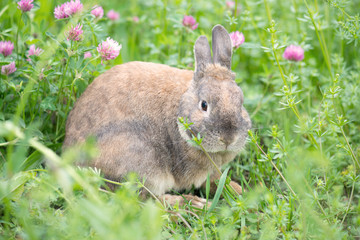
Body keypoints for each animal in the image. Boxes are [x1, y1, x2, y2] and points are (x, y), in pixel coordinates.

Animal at [63, 24, 250, 208]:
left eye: (240, 103)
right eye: (204, 105)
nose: (228, 139)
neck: (180, 107)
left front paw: (239, 191)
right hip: (142, 162)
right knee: (144, 200)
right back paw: (192, 203)